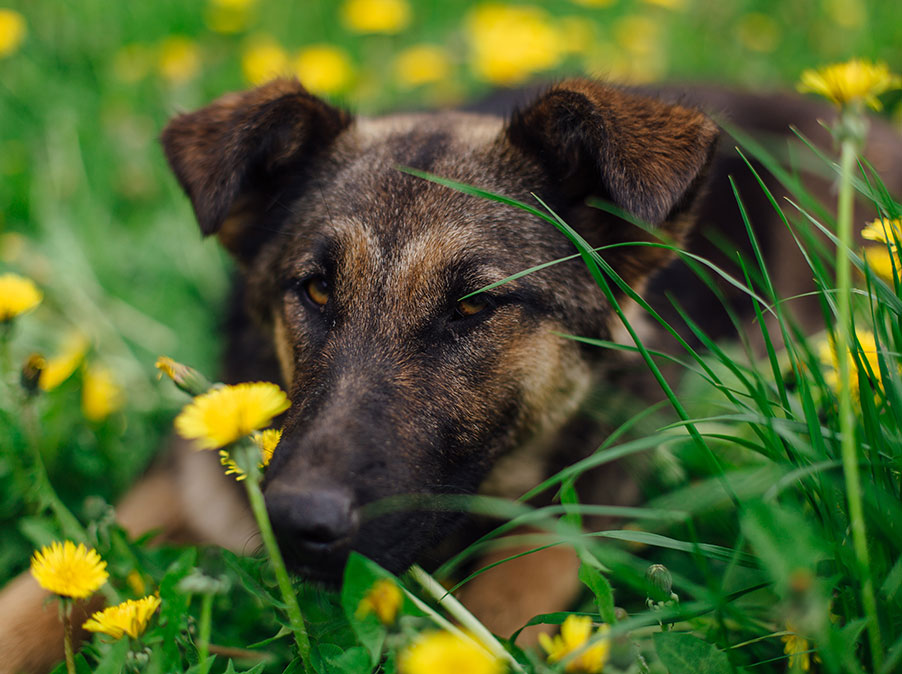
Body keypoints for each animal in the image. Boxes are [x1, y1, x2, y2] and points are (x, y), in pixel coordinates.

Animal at [1, 77, 902, 668]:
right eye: (315, 288)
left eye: (473, 306)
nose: (294, 523)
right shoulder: (167, 496)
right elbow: (32, 602)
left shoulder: (584, 501)